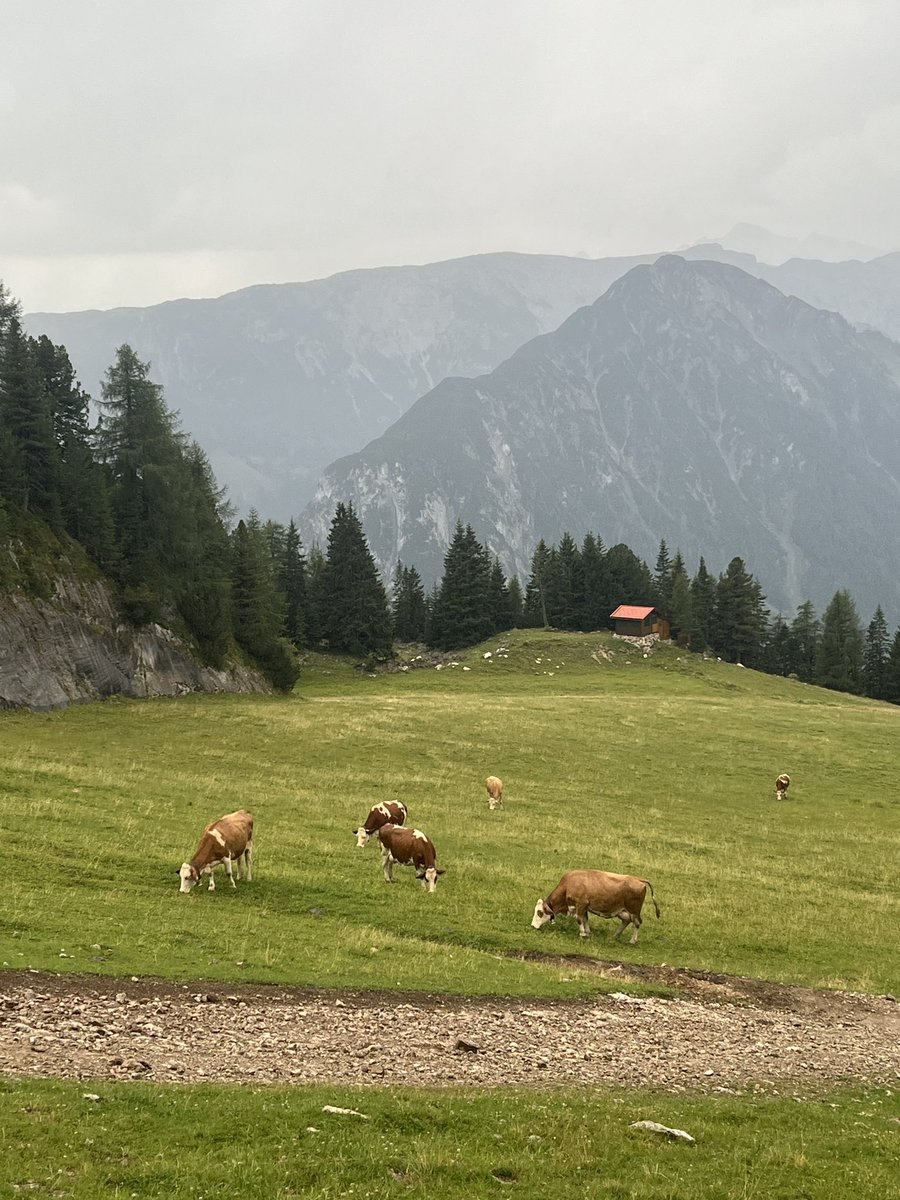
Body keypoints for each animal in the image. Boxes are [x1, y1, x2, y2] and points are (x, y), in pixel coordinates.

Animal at [530, 869, 660, 943]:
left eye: (540, 912)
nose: (532, 926)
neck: (568, 885)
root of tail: (639, 880)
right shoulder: (584, 907)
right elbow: (585, 919)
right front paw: (587, 932)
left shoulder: (581, 904)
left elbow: (579, 919)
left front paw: (582, 934)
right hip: (623, 911)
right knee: (626, 921)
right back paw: (615, 936)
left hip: (634, 910)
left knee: (637, 923)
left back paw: (632, 940)